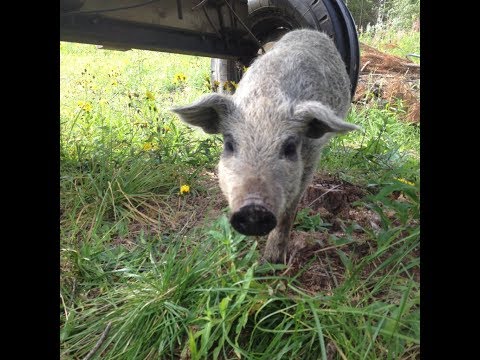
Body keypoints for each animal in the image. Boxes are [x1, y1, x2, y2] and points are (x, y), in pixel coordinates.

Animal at [172, 29, 360, 262]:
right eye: (229, 144)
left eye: (289, 148)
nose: (253, 209)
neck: (266, 101)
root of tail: (310, 31)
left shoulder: (310, 158)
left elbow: (289, 211)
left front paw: (272, 262)